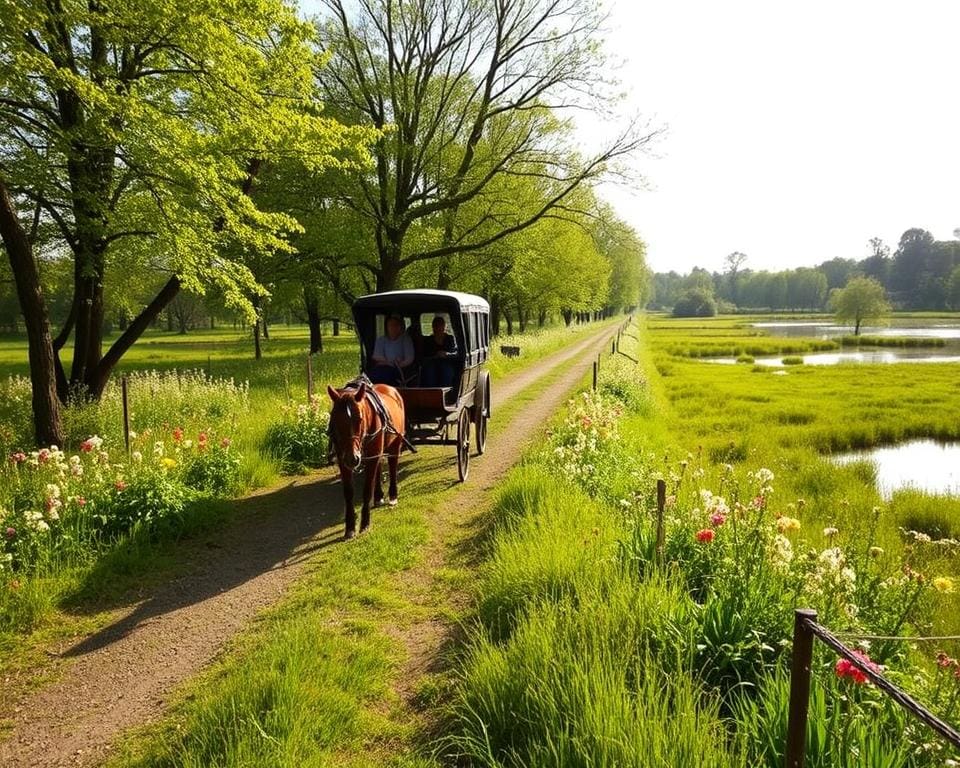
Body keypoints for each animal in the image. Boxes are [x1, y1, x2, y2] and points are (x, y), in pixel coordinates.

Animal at [328, 380, 406, 540]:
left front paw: (364, 523)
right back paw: (378, 496)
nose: (352, 458)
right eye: (335, 419)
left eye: (360, 419)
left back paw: (393, 495)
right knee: (379, 468)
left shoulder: (372, 456)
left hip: (396, 442)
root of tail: (391, 389)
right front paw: (350, 527)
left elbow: (366, 490)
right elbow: (348, 492)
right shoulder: (343, 460)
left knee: (392, 466)